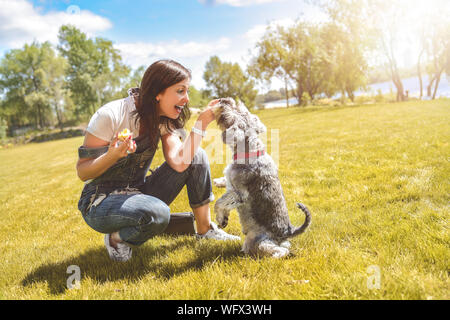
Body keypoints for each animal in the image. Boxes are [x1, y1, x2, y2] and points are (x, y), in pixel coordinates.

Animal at [212, 97, 312, 258]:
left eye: (235, 111)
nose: (223, 100)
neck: (250, 152)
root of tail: (288, 231)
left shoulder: (239, 193)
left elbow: (219, 202)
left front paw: (221, 218)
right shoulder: (231, 186)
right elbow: (224, 194)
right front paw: (218, 183)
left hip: (259, 242)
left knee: (281, 250)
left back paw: (276, 256)